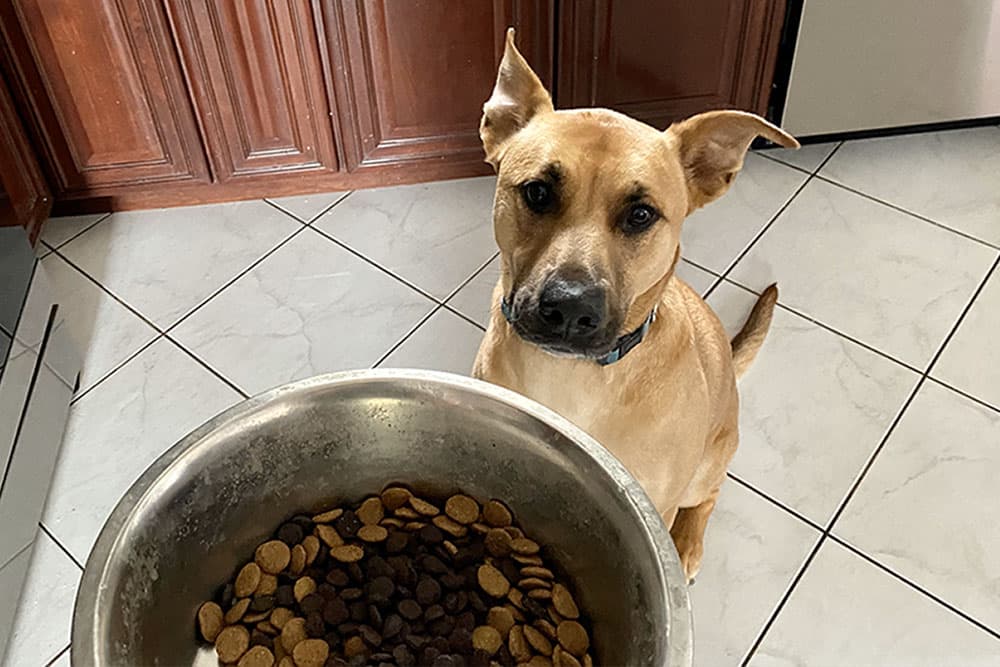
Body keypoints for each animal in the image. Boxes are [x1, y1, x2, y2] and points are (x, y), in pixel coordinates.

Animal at [472, 28, 800, 580]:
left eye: (641, 214)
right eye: (537, 191)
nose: (569, 308)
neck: (576, 377)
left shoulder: (658, 501)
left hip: (707, 466)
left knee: (707, 498)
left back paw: (687, 545)